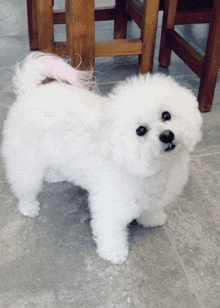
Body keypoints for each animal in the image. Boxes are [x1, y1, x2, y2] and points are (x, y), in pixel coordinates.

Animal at [0, 51, 202, 264]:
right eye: (140, 130)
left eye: (166, 115)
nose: (167, 135)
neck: (156, 168)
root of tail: (29, 92)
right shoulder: (111, 204)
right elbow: (110, 231)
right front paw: (114, 253)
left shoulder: (155, 195)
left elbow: (152, 208)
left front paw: (152, 219)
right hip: (25, 159)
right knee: (24, 186)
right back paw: (28, 206)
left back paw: (55, 176)